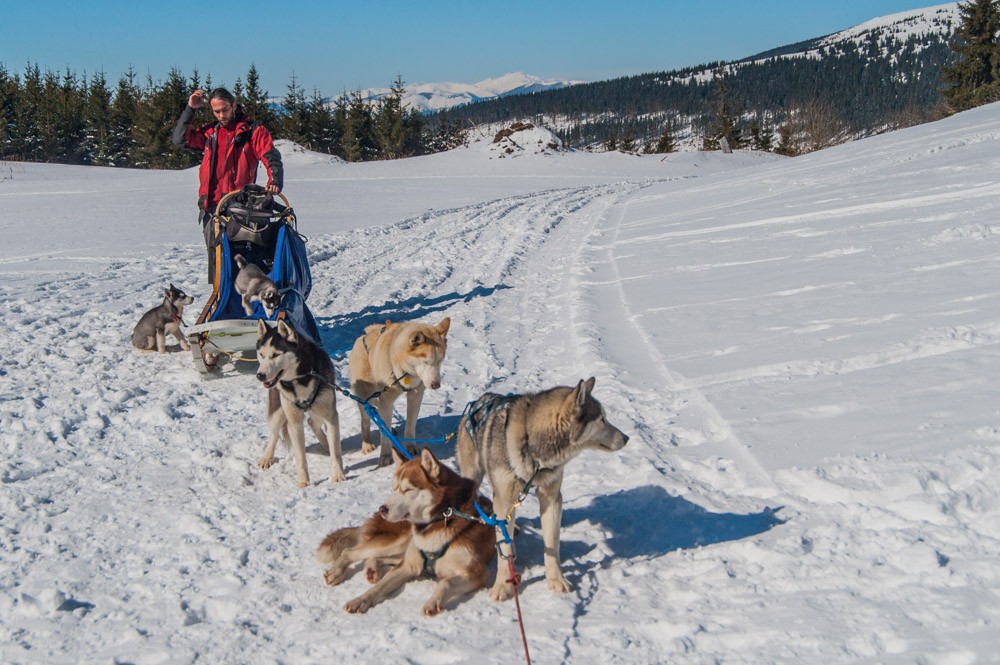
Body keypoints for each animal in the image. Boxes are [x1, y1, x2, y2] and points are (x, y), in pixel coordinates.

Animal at [255, 319, 344, 487]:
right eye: (261, 355)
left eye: (276, 355)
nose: (260, 375)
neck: (301, 377)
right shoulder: (294, 422)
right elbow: (300, 457)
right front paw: (304, 483)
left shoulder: (331, 416)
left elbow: (335, 452)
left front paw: (338, 475)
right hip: (278, 412)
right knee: (274, 434)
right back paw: (267, 457)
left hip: (319, 409)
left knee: (312, 422)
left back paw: (325, 444)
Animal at [317, 447, 496, 617]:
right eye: (394, 488)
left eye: (407, 489)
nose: (383, 509)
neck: (445, 515)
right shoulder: (408, 566)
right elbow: (380, 586)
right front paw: (360, 600)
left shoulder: (476, 574)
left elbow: (446, 582)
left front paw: (433, 602)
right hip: (398, 542)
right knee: (350, 552)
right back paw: (337, 572)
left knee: (374, 557)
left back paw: (372, 569)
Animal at [348, 317, 451, 467]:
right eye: (426, 362)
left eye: (440, 360)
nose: (436, 385)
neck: (405, 372)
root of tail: (364, 336)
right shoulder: (386, 400)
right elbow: (384, 435)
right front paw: (385, 455)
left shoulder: (415, 396)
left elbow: (410, 425)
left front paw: (410, 447)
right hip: (365, 396)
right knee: (365, 420)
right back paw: (367, 445)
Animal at [456, 377, 629, 600]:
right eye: (601, 419)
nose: (626, 438)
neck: (531, 443)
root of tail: (480, 399)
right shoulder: (504, 499)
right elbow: (504, 548)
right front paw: (502, 586)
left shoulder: (552, 497)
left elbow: (552, 545)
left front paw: (556, 580)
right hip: (473, 476)